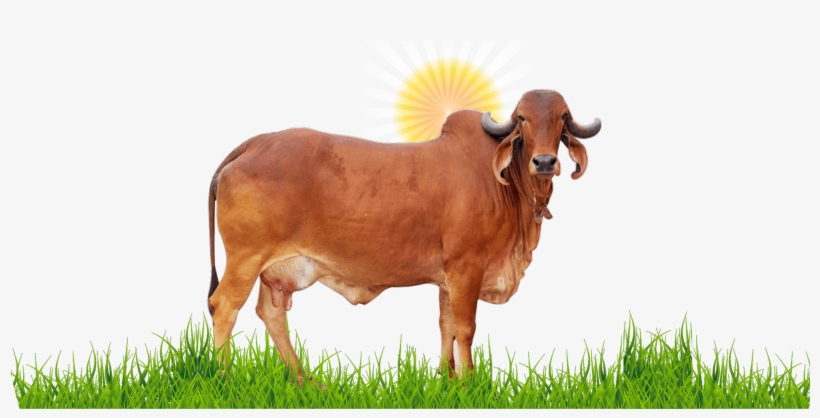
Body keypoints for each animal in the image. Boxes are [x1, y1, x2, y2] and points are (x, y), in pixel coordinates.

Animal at [206, 89, 602, 384]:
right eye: (521, 119)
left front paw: (447, 378)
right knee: (224, 306)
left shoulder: (447, 278)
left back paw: (305, 380)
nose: (545, 162)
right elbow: (466, 328)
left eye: (563, 117)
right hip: (245, 259)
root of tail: (256, 143)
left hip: (272, 270)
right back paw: (225, 378)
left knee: (270, 313)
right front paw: (470, 383)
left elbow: (446, 326)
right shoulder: (467, 268)